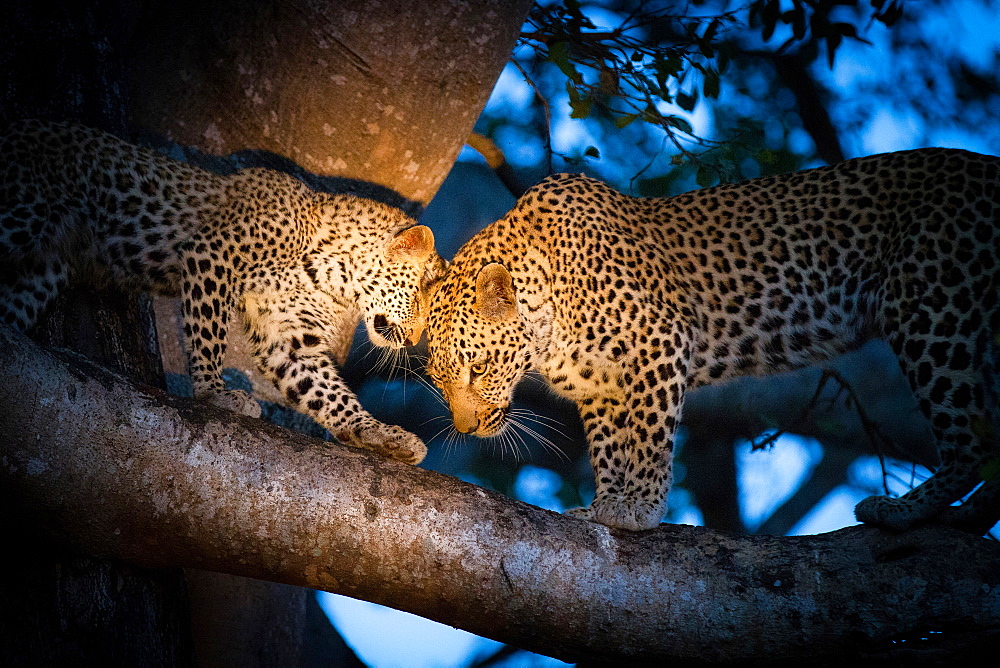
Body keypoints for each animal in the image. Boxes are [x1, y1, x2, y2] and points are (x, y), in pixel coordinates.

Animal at [0, 118, 446, 464]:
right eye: (419, 297)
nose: (414, 339)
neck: (328, 269)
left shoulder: (286, 334)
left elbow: (326, 390)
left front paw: (380, 433)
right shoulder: (212, 256)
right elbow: (208, 332)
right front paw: (213, 394)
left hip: (44, 270)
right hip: (22, 215)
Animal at [424, 147, 1000, 532]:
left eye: (479, 368)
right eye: (440, 381)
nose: (466, 428)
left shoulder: (660, 342)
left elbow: (648, 437)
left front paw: (640, 507)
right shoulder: (601, 387)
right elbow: (609, 447)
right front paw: (605, 503)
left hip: (931, 310)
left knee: (972, 440)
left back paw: (904, 509)